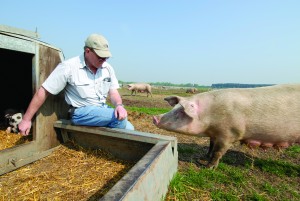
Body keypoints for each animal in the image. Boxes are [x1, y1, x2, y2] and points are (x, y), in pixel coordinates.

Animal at [152, 84, 300, 169]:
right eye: (175, 108)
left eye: (181, 111)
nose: (155, 117)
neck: (210, 115)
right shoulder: (214, 134)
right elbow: (211, 146)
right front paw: (206, 156)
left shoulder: (229, 134)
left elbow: (218, 151)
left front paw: (208, 167)